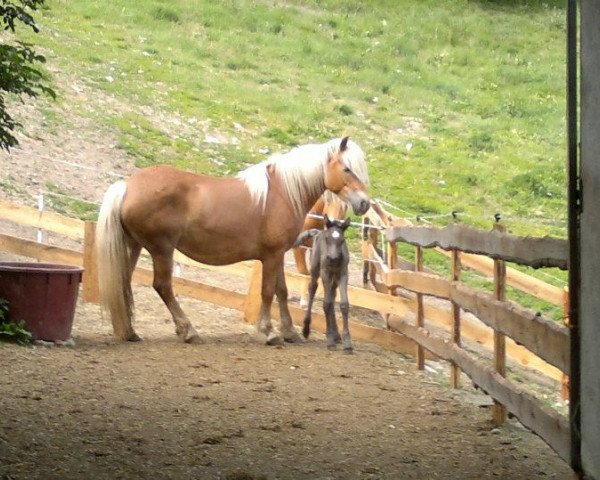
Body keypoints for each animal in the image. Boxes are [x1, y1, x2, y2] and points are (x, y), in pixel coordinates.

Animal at [294, 216, 354, 350]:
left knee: (332, 295)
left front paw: (347, 342)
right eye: (327, 239)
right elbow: (326, 303)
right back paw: (306, 329)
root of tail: (317, 232)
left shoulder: (343, 274)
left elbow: (344, 304)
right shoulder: (325, 272)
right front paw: (330, 339)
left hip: (334, 278)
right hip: (316, 269)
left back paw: (336, 334)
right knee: (313, 288)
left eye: (342, 240)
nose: (332, 258)